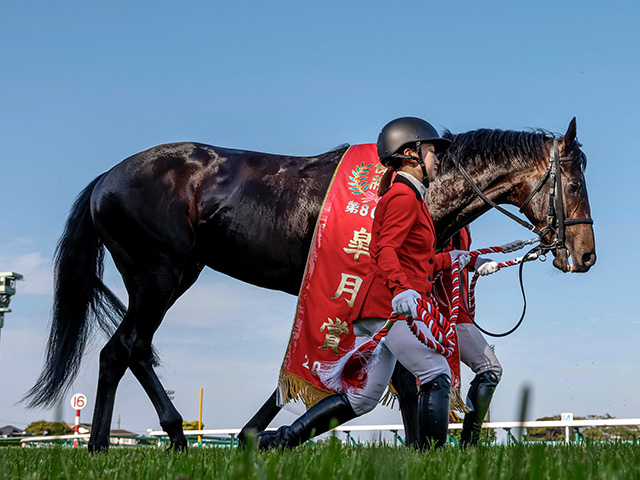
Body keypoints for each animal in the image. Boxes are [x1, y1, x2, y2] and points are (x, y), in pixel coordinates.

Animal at [26, 118, 595, 452]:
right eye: (573, 181)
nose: (586, 255)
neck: (405, 185)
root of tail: (106, 179)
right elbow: (394, 377)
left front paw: (257, 433)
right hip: (158, 275)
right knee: (130, 347)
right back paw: (164, 437)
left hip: (176, 274)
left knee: (120, 352)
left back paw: (113, 444)